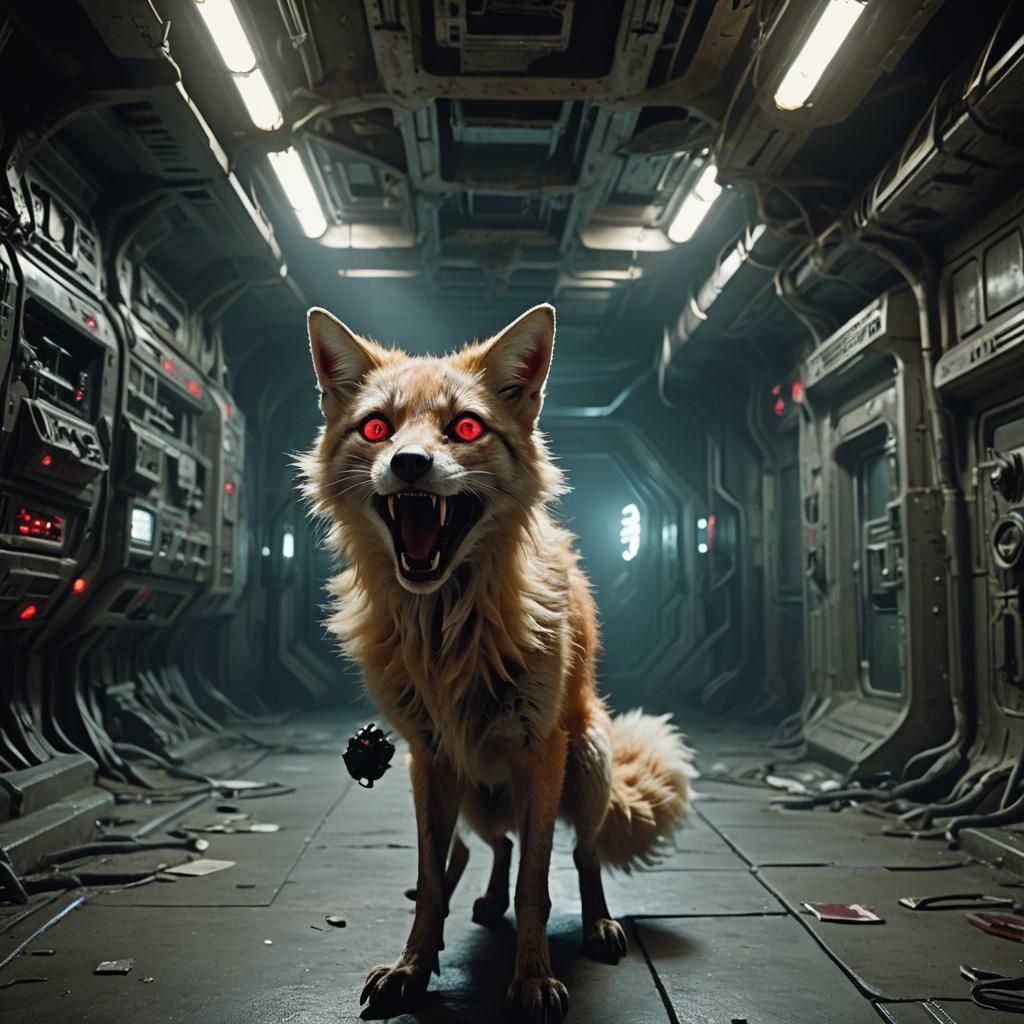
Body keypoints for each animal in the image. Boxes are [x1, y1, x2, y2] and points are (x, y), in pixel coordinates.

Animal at [299, 302, 695, 1023]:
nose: (409, 463)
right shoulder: (427, 755)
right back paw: (480, 898)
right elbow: (431, 880)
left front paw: (532, 977)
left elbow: (538, 884)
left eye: (465, 427)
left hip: (587, 762)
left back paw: (598, 924)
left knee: (582, 855)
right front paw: (412, 968)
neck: (447, 634)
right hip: (472, 793)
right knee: (490, 846)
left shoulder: (540, 750)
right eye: (376, 427)